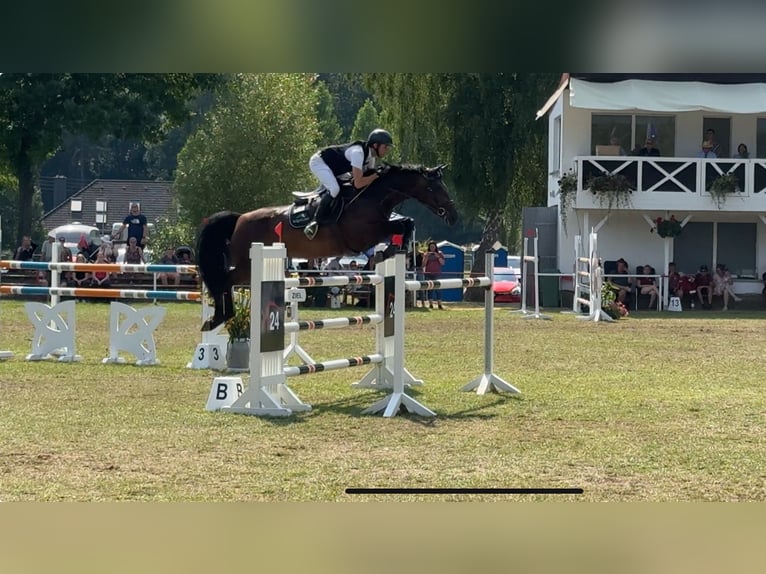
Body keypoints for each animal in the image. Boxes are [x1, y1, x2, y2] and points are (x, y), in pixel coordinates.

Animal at [198, 162, 460, 332]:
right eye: (432, 188)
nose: (453, 216)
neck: (373, 197)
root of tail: (239, 218)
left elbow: (407, 222)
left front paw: (395, 249)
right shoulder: (363, 235)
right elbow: (403, 222)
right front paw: (390, 249)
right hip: (248, 264)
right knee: (225, 280)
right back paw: (219, 318)